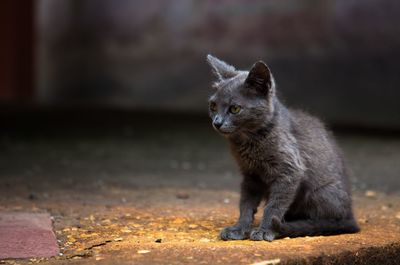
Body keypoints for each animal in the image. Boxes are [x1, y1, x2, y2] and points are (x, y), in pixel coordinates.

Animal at [206, 54, 360, 240]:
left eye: (235, 109)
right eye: (213, 106)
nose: (217, 122)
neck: (249, 142)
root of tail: (351, 214)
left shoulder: (289, 170)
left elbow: (274, 206)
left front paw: (264, 231)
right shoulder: (251, 175)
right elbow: (246, 204)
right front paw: (239, 229)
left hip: (321, 192)